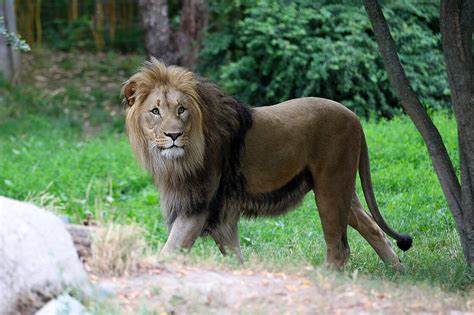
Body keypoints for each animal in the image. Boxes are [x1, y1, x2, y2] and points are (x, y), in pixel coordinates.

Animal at [122, 58, 412, 270]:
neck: (180, 160)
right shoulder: (221, 213)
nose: (173, 135)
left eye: (181, 109)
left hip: (330, 189)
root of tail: (355, 117)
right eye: (155, 111)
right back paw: (398, 271)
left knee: (339, 248)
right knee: (371, 227)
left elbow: (170, 250)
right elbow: (233, 252)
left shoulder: (198, 207)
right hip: (341, 188)